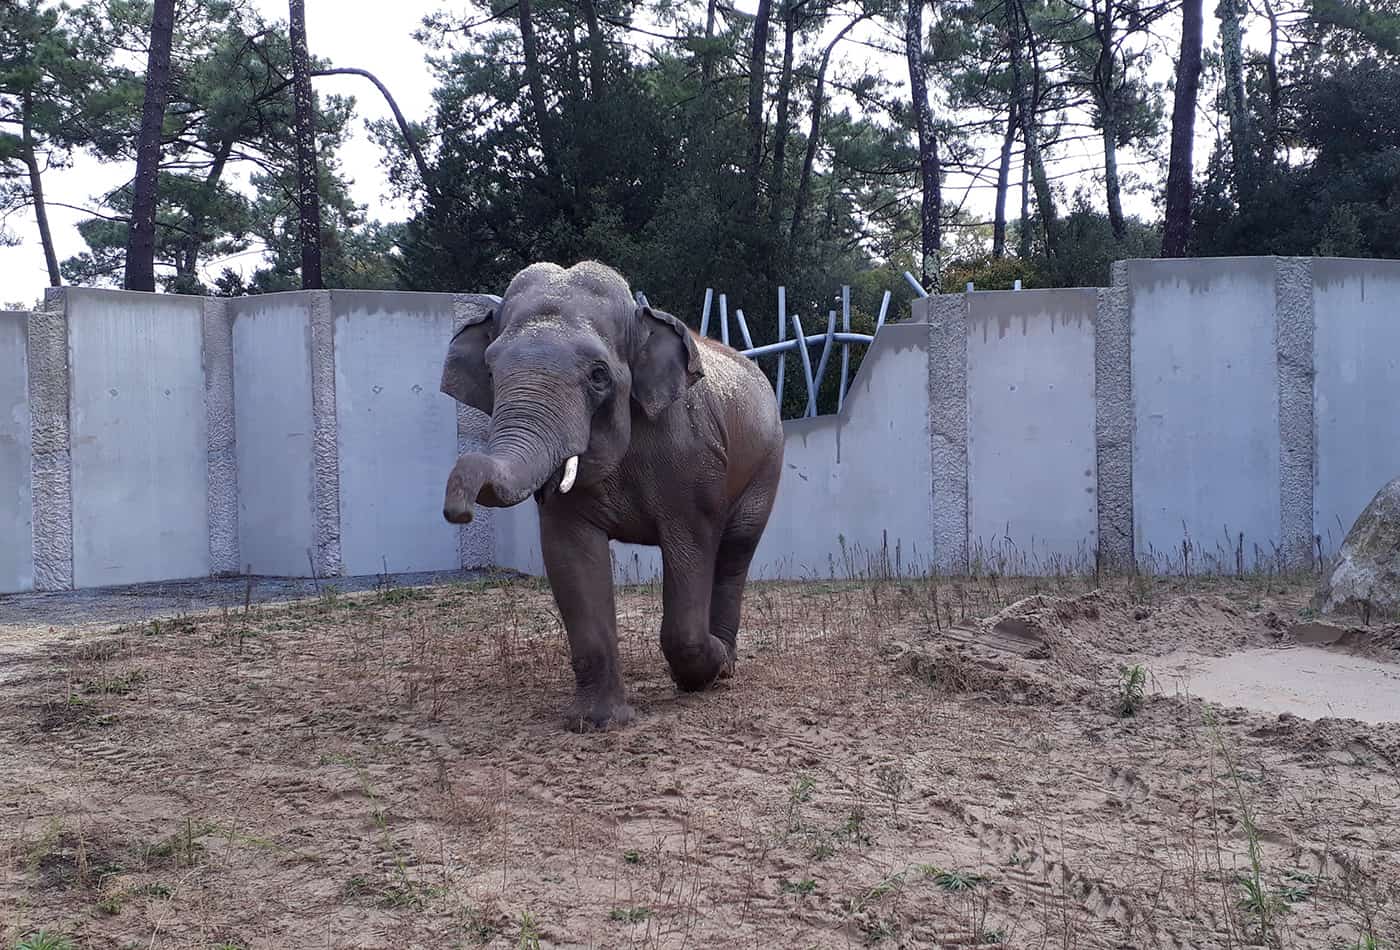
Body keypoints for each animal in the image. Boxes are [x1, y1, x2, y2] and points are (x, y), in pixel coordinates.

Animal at [439, 256, 789, 733]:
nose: (457, 511)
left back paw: (726, 665)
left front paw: (704, 671)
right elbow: (570, 554)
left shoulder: (692, 457)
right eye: (491, 373)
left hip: (767, 463)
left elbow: (691, 547)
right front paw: (596, 723)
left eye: (598, 375)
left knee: (736, 550)